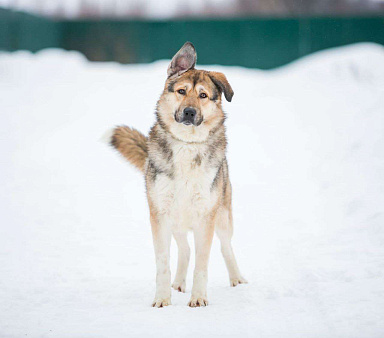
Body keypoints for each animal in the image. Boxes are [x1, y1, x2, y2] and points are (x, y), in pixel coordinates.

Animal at [109, 41, 246, 306]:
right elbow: (163, 263)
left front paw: (199, 299)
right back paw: (179, 284)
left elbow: (202, 264)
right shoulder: (160, 215)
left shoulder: (206, 216)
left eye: (203, 95)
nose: (190, 112)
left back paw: (238, 279)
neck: (186, 144)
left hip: (222, 215)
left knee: (226, 247)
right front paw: (162, 299)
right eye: (181, 91)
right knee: (185, 249)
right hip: (176, 221)